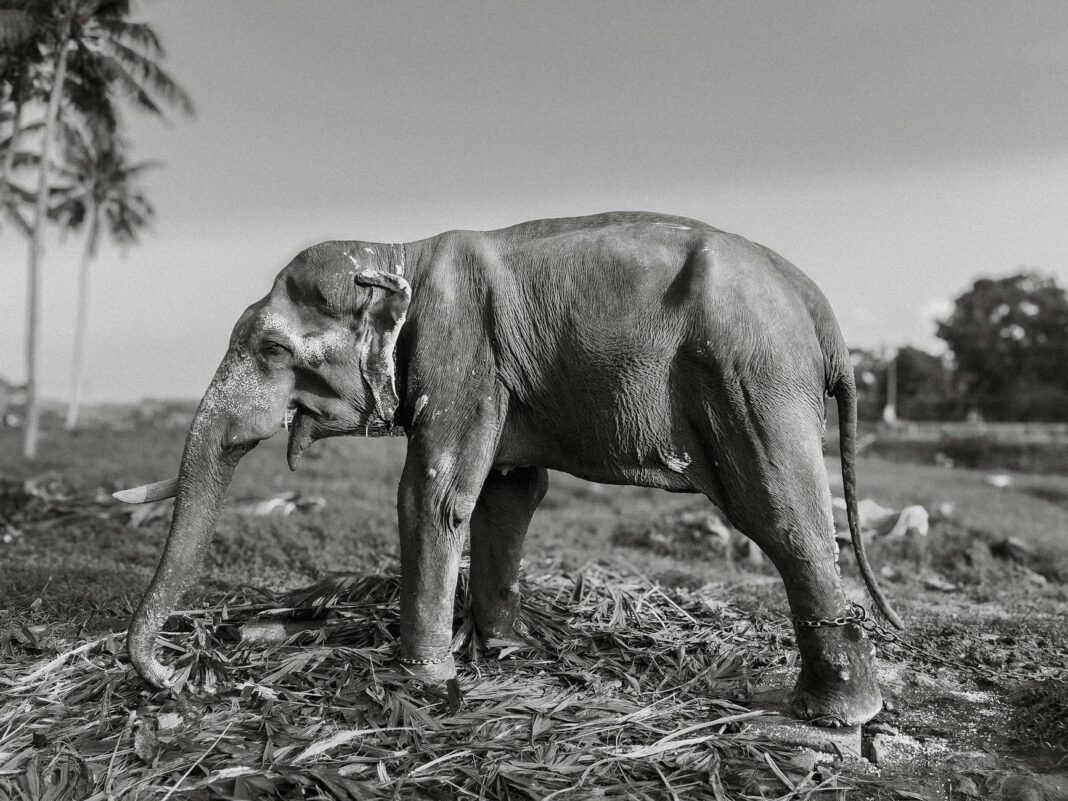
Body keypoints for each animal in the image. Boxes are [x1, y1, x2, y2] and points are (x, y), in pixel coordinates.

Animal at [116, 211, 901, 727]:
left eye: (273, 350)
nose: (182, 679)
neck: (401, 250)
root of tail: (822, 312)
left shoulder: (460, 351)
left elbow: (433, 494)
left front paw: (424, 681)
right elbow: (509, 491)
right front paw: (502, 651)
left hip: (754, 381)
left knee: (784, 518)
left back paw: (830, 717)